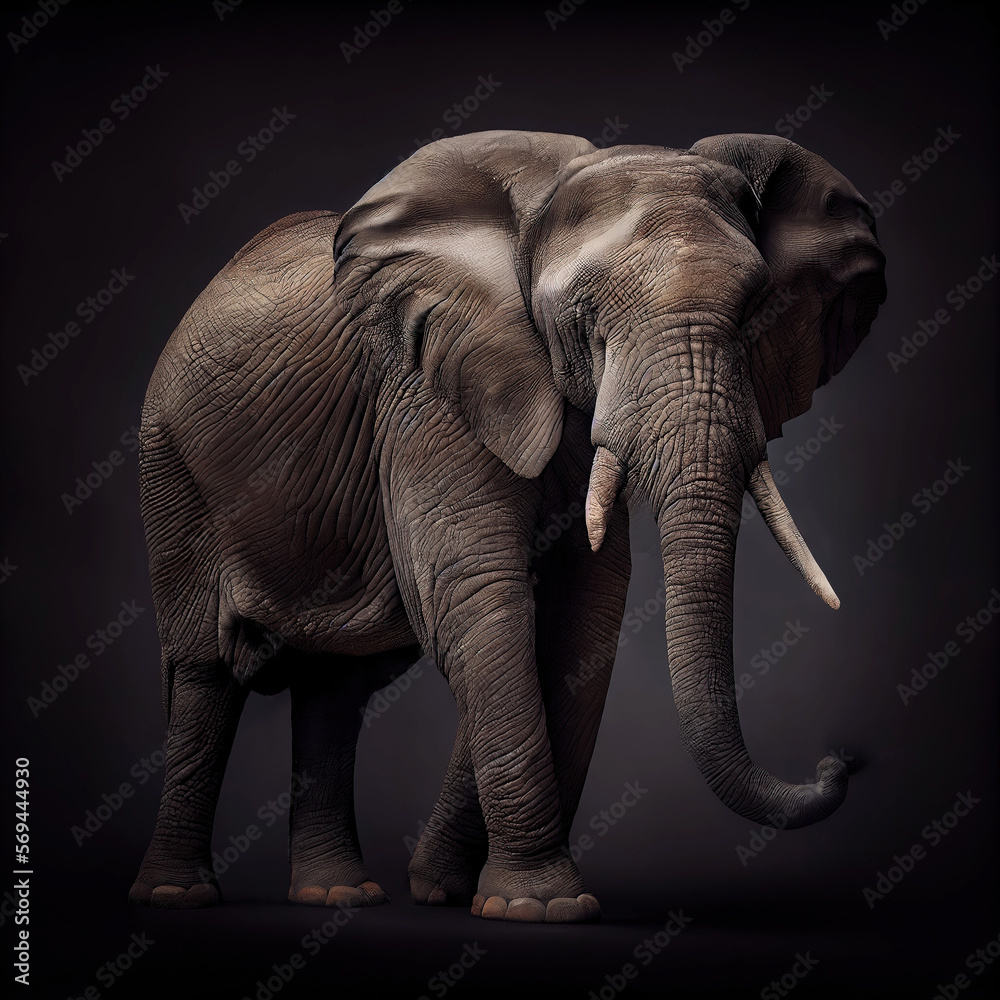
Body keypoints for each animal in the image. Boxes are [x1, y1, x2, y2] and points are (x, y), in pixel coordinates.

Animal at [128, 129, 886, 922]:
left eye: (756, 312)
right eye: (586, 319)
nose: (840, 759)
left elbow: (582, 613)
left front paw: (450, 890)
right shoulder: (426, 385)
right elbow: (475, 593)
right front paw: (540, 908)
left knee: (335, 684)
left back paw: (340, 894)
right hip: (171, 469)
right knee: (203, 670)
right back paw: (179, 893)